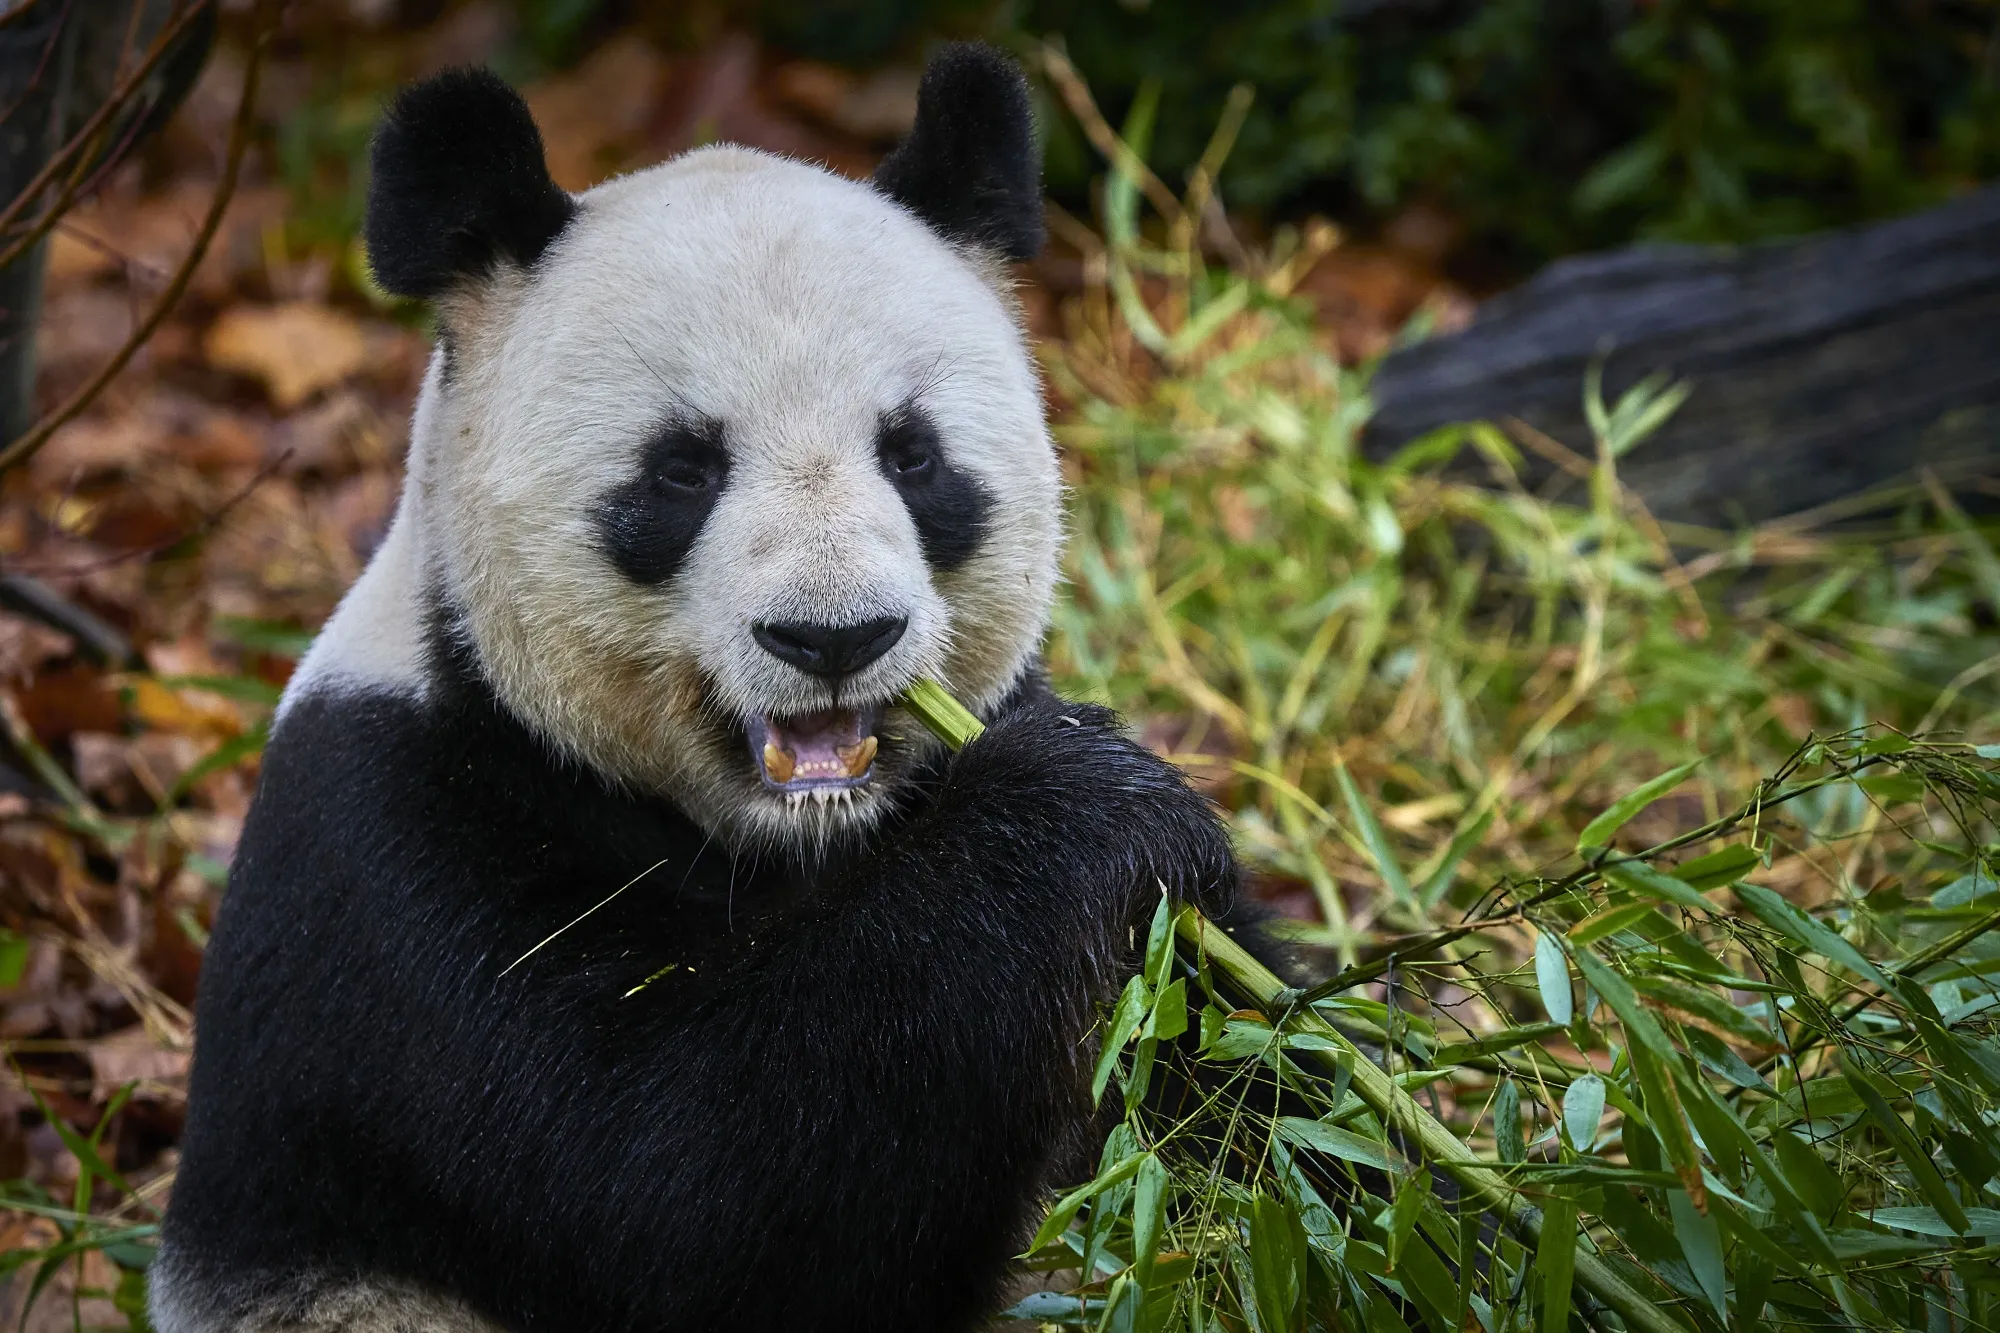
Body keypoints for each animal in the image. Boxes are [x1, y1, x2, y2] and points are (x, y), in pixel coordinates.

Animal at [153, 44, 1244, 1333]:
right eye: (682, 470)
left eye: (912, 453)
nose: (834, 635)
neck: (796, 838)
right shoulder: (393, 869)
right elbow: (683, 1191)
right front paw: (1080, 805)